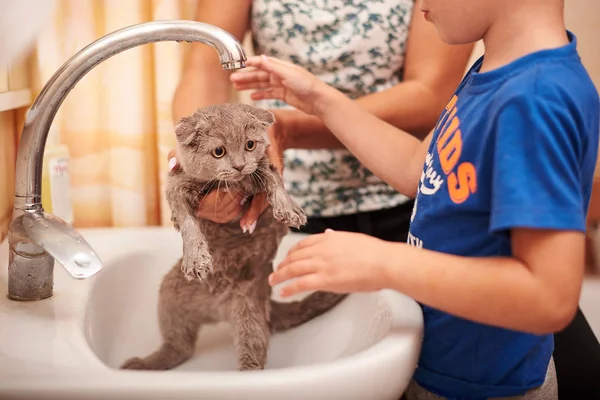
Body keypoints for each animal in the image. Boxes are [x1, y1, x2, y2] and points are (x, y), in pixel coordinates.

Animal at [120, 104, 346, 372]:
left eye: (250, 145)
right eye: (219, 151)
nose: (239, 166)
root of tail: (217, 309)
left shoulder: (261, 166)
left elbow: (274, 180)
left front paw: (289, 209)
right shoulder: (176, 183)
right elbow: (188, 222)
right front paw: (196, 258)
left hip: (249, 309)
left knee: (250, 350)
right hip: (170, 295)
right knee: (179, 347)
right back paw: (142, 364)